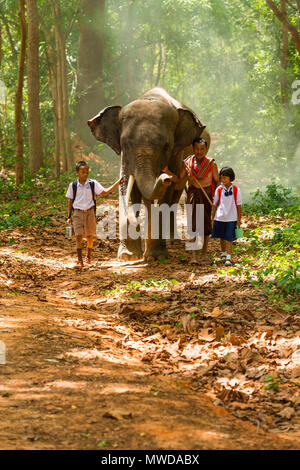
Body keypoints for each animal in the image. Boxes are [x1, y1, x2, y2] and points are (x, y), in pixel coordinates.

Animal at [87, 85, 211, 260]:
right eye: (125, 144)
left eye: (166, 146)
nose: (165, 176)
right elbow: (127, 187)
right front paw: (128, 256)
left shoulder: (176, 153)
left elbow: (165, 195)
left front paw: (156, 256)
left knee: (175, 195)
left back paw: (170, 240)